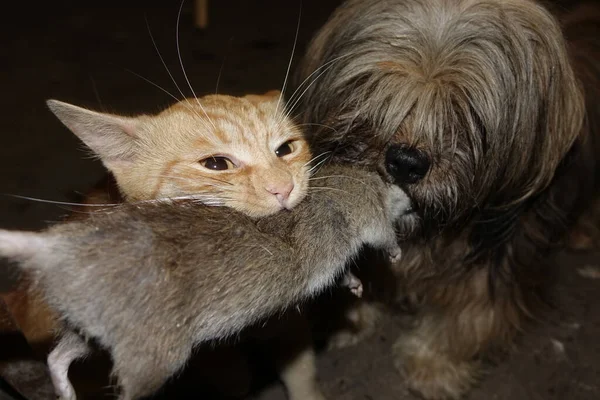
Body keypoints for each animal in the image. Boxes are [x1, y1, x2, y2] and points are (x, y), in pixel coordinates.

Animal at [296, 0, 600, 398]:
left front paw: (432, 367)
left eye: (465, 110)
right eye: (376, 91)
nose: (405, 163)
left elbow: (465, 320)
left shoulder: (490, 261)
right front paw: (348, 320)